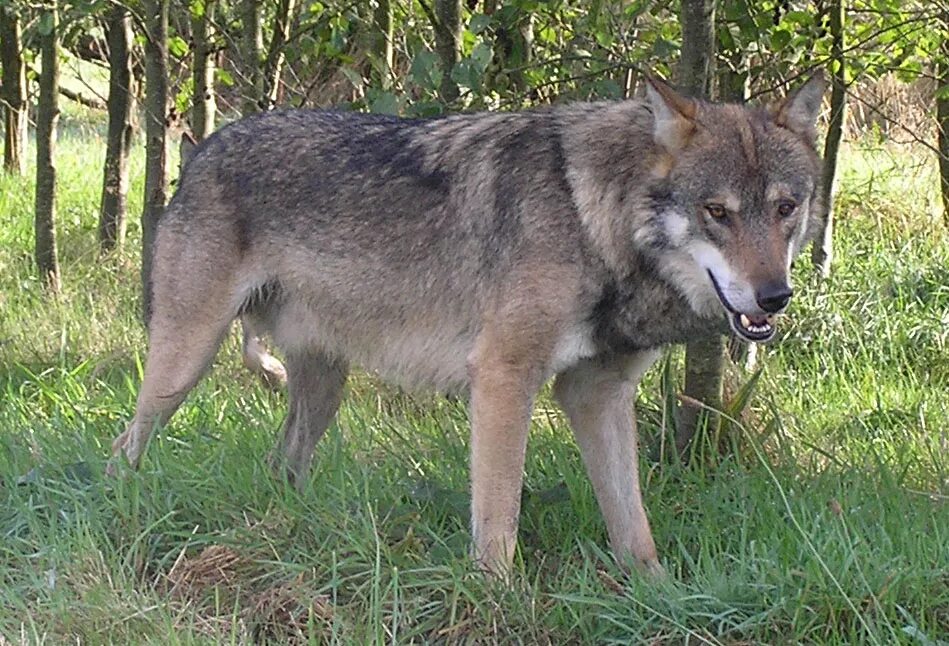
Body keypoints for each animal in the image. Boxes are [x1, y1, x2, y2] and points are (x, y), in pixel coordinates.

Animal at [109, 74, 824, 576]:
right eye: (717, 212)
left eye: (785, 208)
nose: (774, 296)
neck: (593, 218)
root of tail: (203, 148)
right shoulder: (505, 379)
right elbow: (499, 518)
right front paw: (499, 599)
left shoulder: (598, 393)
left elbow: (634, 528)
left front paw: (660, 597)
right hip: (183, 363)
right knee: (126, 445)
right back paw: (123, 510)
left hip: (324, 389)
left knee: (280, 462)